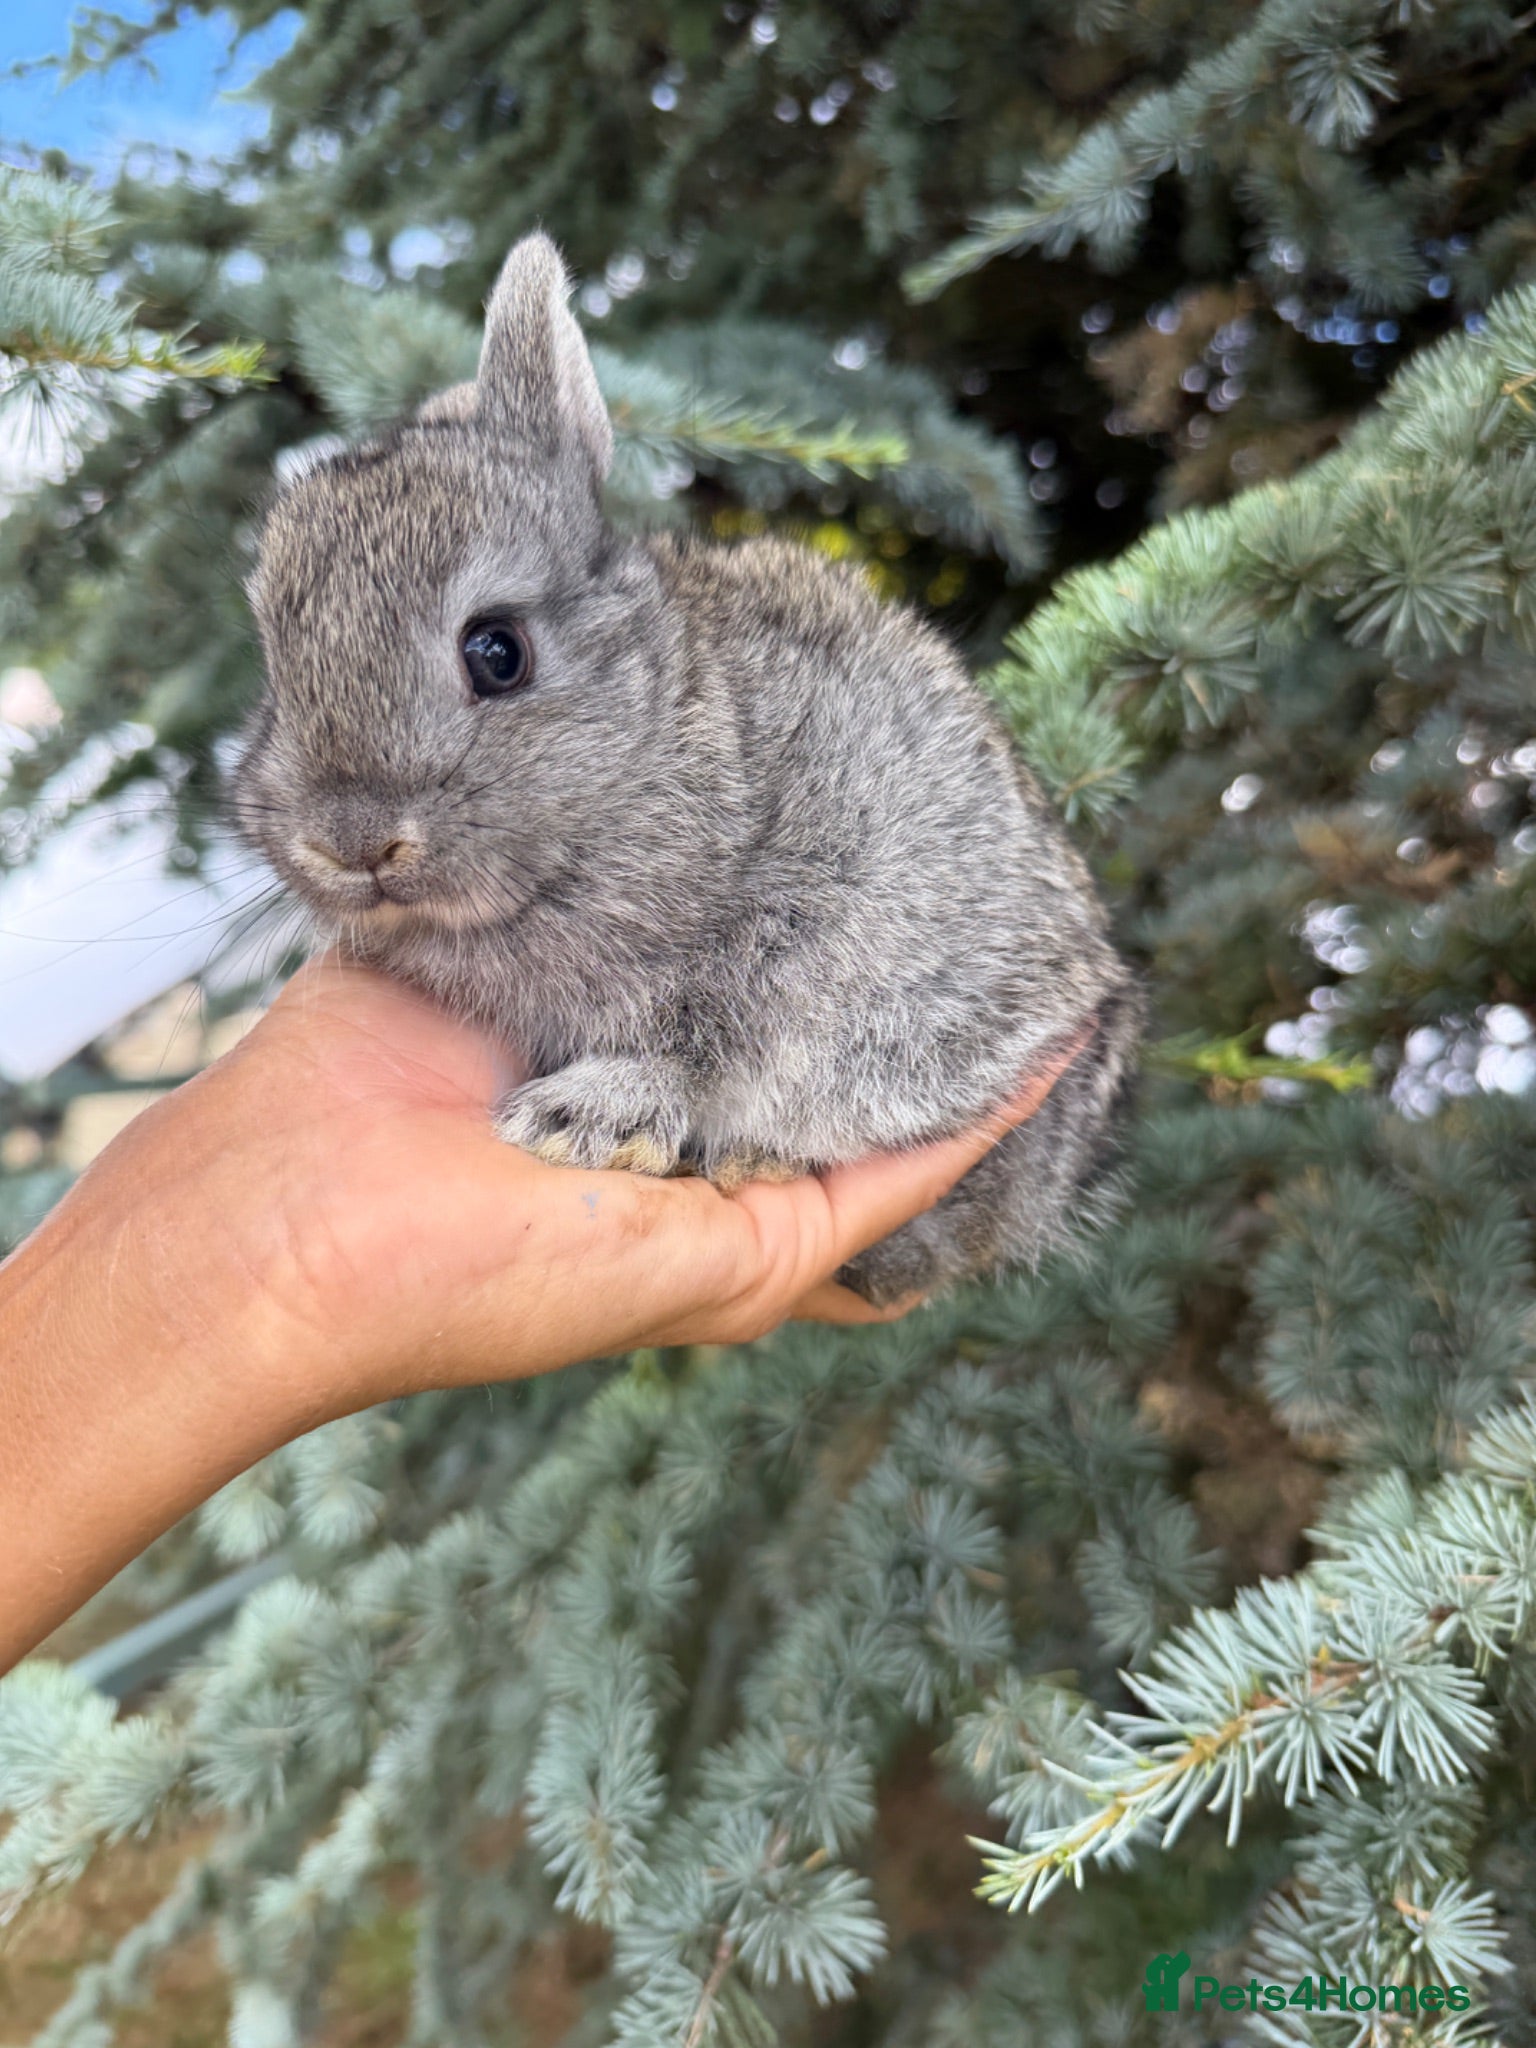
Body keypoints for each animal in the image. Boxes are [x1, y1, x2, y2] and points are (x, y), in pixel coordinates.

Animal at [230, 231, 1143, 1307]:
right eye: (271, 670)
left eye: (497, 652)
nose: (351, 843)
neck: (646, 746)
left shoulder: (800, 913)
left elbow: (710, 1032)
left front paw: (581, 1118)